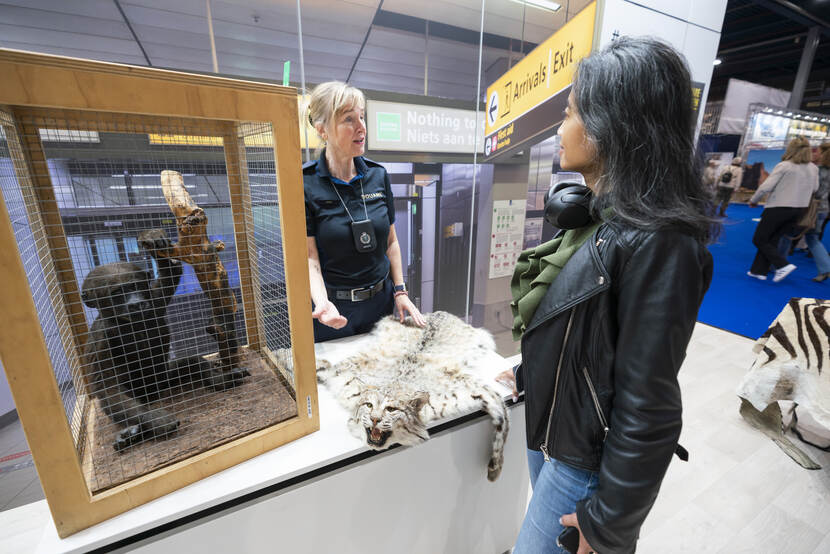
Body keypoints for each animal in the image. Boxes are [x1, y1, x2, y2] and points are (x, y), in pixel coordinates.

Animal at [81, 229, 250, 448]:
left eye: (135, 286)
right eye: (117, 293)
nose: (136, 302)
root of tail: (155, 393)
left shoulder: (153, 303)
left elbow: (167, 282)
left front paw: (155, 242)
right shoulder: (100, 341)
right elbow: (109, 387)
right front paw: (156, 419)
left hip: (165, 377)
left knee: (193, 364)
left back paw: (222, 378)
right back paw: (131, 433)